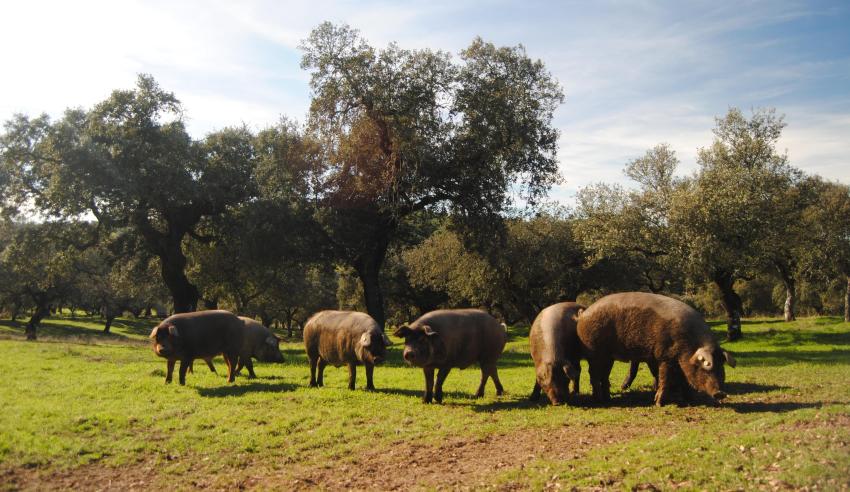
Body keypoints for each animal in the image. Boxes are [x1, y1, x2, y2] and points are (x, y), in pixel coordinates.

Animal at [576, 294, 736, 406]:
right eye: (705, 367)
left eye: (722, 367)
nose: (721, 393)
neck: (688, 344)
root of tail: (583, 314)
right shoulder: (665, 356)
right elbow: (664, 378)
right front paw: (658, 403)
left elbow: (684, 381)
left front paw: (690, 401)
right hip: (595, 352)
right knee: (594, 375)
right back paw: (599, 400)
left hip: (608, 356)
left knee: (604, 376)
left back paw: (608, 399)